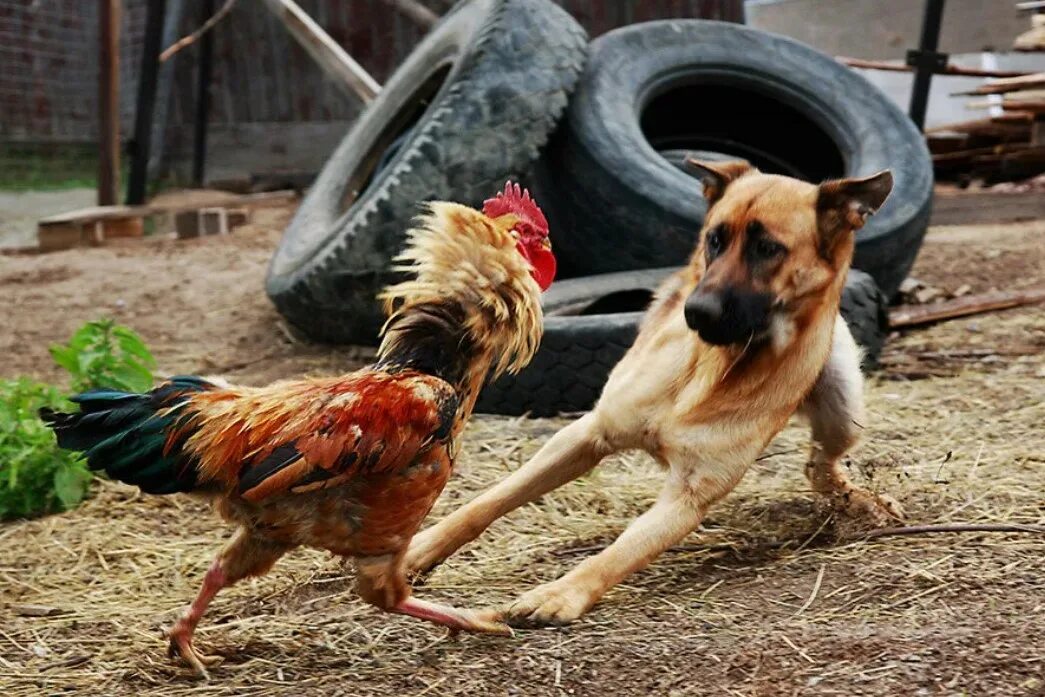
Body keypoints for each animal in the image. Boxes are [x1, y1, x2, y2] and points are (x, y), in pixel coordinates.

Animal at [403, 159, 902, 626]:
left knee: (821, 463)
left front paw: (559, 594)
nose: (696, 311)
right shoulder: (584, 435)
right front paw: (419, 549)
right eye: (714, 240)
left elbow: (619, 553)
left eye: (768, 249)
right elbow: (490, 500)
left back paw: (861, 500)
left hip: (844, 407)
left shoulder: (688, 496)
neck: (710, 368)